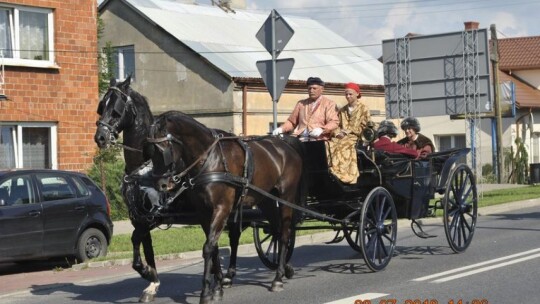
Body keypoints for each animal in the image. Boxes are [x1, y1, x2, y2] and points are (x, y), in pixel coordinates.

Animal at [93, 76, 245, 302]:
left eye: (117, 108)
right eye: (102, 106)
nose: (100, 137)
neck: (144, 168)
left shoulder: (154, 216)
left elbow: (137, 239)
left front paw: (149, 275)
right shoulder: (139, 217)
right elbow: (143, 246)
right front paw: (151, 281)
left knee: (229, 239)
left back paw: (225, 278)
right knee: (217, 244)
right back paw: (219, 281)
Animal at [147, 111, 308, 304]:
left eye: (163, 149)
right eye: (149, 151)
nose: (161, 184)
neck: (210, 160)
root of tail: (285, 144)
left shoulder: (221, 208)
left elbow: (208, 247)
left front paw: (206, 292)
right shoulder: (203, 213)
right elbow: (214, 247)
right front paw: (217, 288)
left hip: (286, 197)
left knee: (284, 233)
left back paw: (278, 278)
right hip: (266, 199)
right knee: (276, 230)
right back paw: (286, 269)